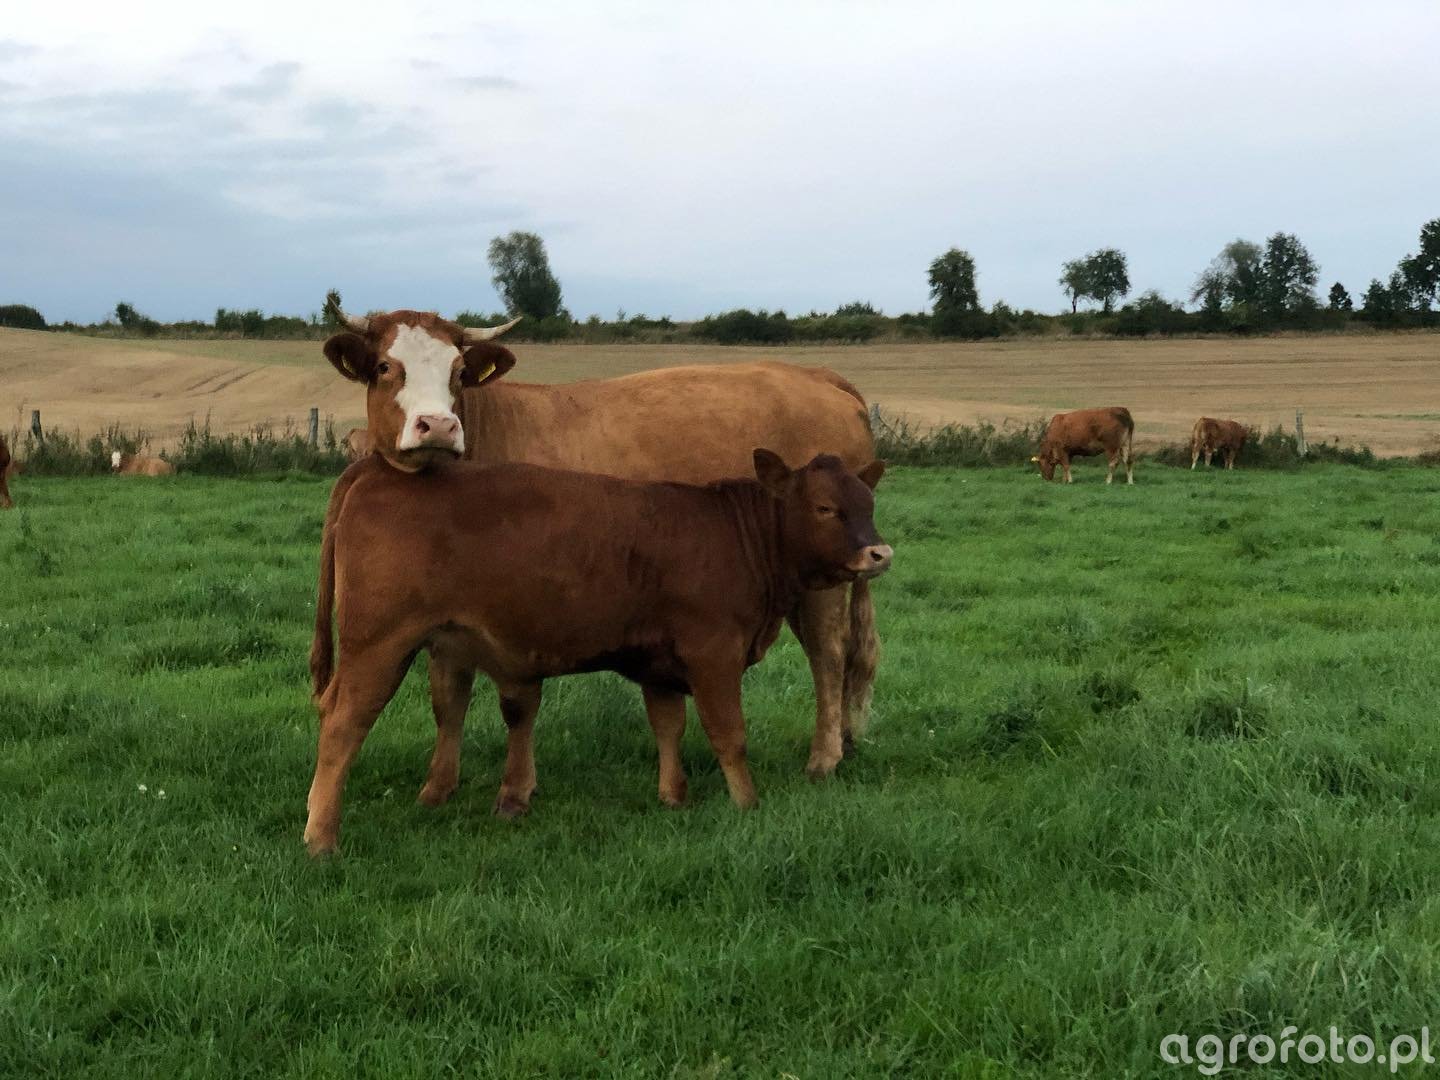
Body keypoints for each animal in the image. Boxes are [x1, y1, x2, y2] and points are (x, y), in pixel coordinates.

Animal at [303, 450, 891, 855]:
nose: (879, 552)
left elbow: (668, 726)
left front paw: (674, 795)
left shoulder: (660, 663)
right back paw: (321, 837)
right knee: (343, 726)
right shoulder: (714, 655)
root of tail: (376, 466)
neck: (733, 535)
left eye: (868, 505)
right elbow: (729, 734)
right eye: (825, 508)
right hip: (379, 646)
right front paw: (747, 804)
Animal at [321, 294, 878, 778]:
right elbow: (447, 696)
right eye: (384, 367)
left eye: (459, 373)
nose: (437, 425)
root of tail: (815, 375)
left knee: (829, 652)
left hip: (824, 576)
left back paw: (824, 757)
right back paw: (848, 740)